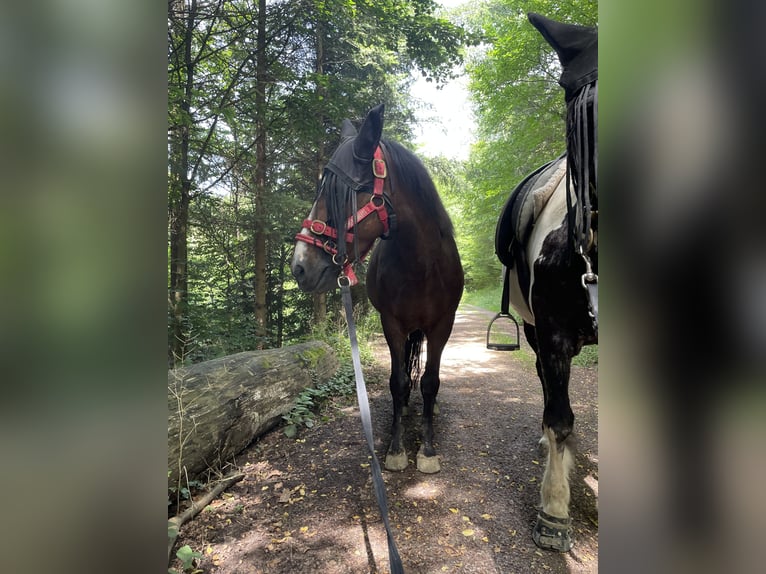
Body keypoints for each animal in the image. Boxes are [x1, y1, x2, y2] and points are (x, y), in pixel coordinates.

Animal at [292, 106, 462, 474]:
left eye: (340, 192)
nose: (299, 267)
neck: (421, 266)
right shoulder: (392, 325)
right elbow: (398, 383)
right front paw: (397, 448)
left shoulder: (442, 325)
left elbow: (430, 382)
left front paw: (427, 450)